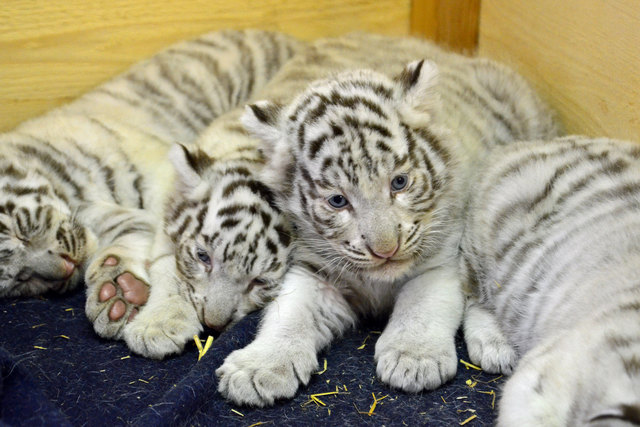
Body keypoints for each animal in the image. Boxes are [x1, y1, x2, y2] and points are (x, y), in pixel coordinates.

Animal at [214, 32, 559, 407]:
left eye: (399, 182)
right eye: (338, 201)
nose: (385, 250)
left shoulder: (441, 259)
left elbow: (420, 304)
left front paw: (413, 357)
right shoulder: (315, 270)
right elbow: (289, 313)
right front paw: (259, 367)